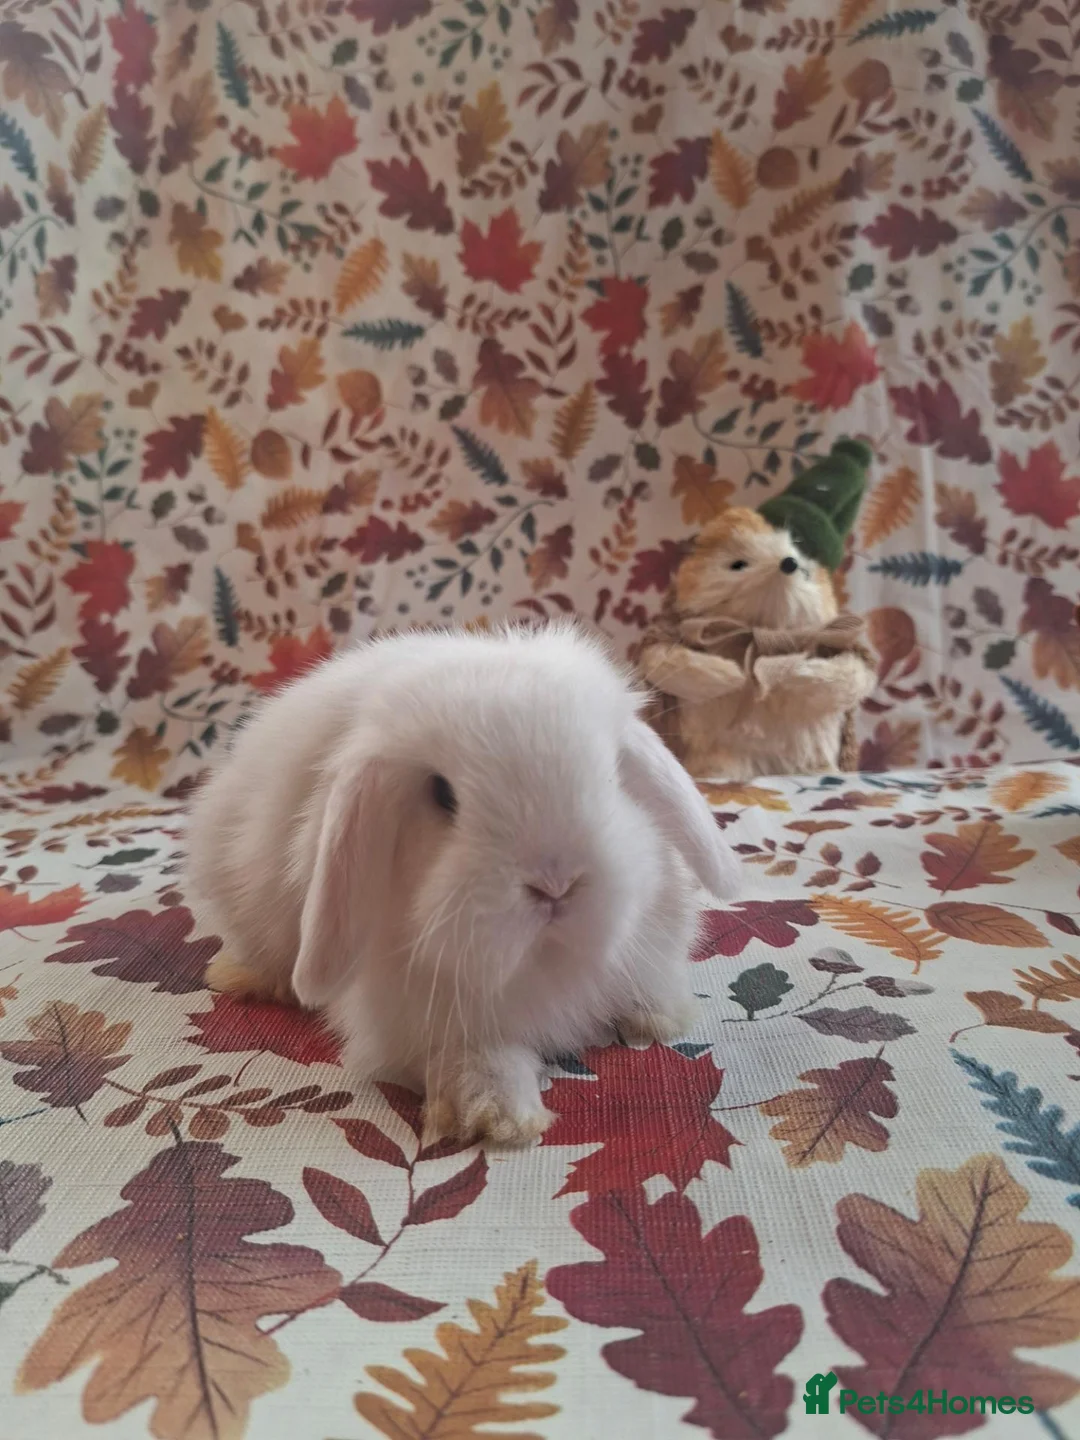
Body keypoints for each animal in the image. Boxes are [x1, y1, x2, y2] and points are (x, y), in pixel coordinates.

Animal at [185, 622, 740, 1146]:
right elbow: (482, 1063)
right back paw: (239, 977)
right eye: (442, 794)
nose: (556, 883)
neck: (544, 962)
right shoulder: (444, 1027)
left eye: (612, 776)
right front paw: (500, 1119)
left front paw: (661, 1018)